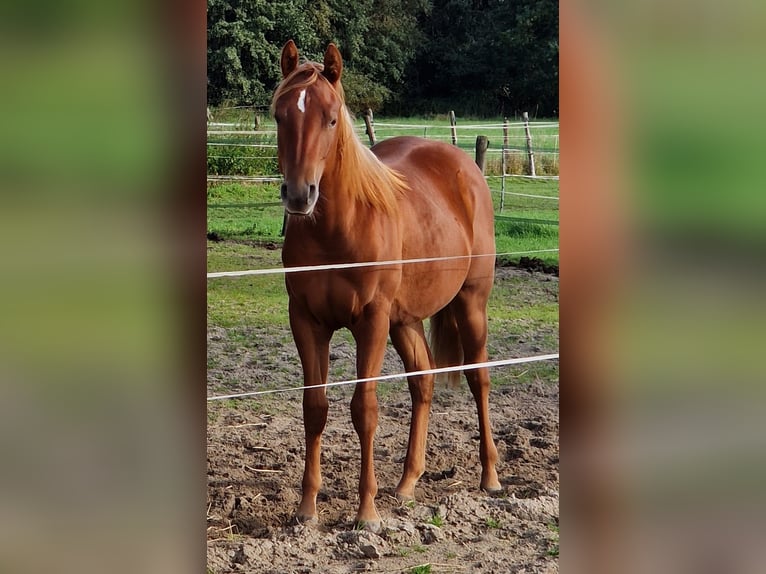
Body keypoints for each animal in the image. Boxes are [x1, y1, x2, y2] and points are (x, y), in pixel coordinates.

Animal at [272, 41, 500, 536]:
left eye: (331, 119)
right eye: (280, 115)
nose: (299, 195)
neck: (338, 230)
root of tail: (463, 166)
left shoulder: (370, 321)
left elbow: (365, 409)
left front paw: (366, 512)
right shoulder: (306, 321)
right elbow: (314, 407)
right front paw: (306, 509)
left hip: (470, 304)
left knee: (479, 378)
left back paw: (490, 478)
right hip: (405, 322)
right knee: (423, 382)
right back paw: (407, 483)